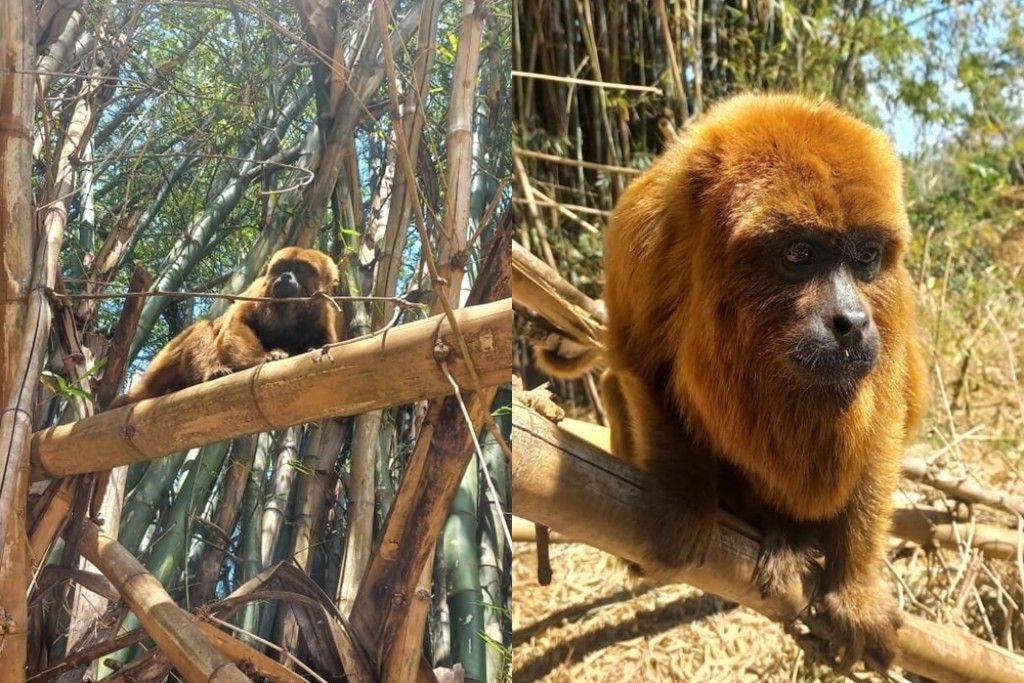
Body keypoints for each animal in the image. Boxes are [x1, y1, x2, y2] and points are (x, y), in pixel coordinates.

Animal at [113, 246, 341, 406]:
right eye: (283, 267)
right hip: (164, 365)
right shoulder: (258, 289)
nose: (285, 276)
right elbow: (237, 323)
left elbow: (323, 342)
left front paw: (311, 350)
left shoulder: (323, 309)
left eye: (299, 269)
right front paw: (266, 358)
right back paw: (210, 373)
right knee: (204, 326)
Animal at [538, 93, 928, 669]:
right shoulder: (648, 237)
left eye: (866, 257)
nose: (852, 321)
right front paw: (686, 504)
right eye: (799, 254)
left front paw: (855, 588)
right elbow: (642, 364)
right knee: (612, 381)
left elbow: (886, 414)